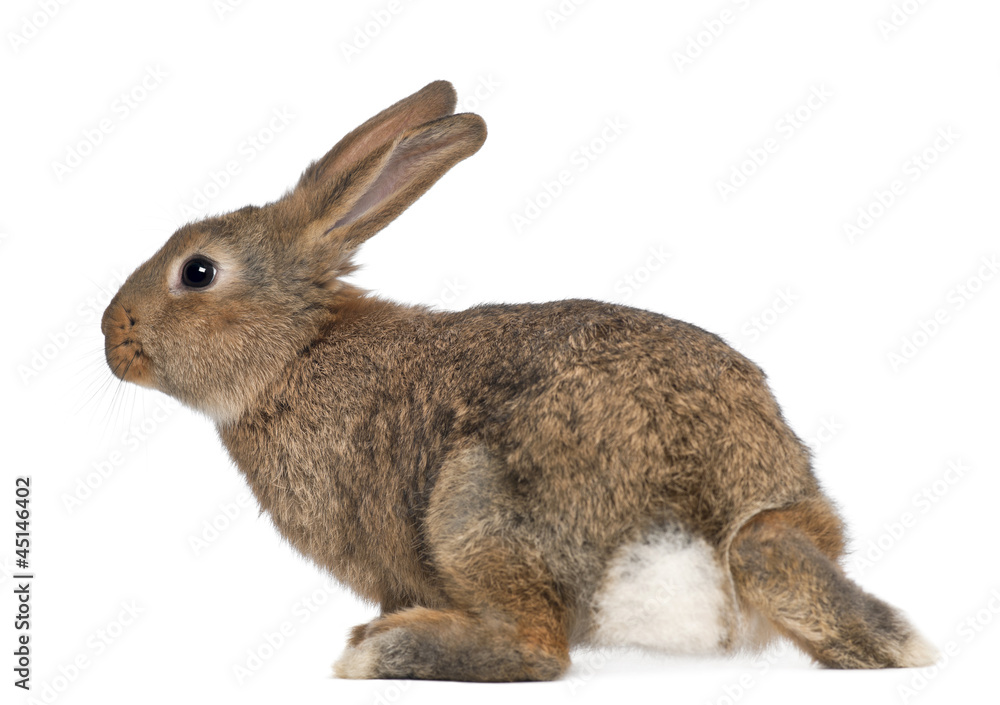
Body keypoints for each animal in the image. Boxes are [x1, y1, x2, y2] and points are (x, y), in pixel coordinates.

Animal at [101, 80, 937, 681]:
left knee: (540, 648)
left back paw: (386, 648)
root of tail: (734, 522)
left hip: (475, 504)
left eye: (198, 272)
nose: (111, 336)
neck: (296, 350)